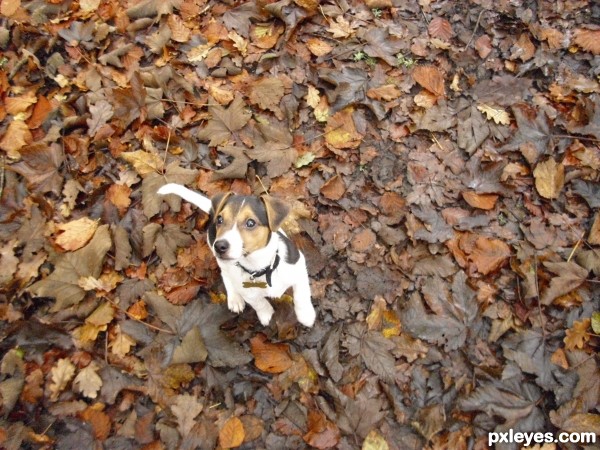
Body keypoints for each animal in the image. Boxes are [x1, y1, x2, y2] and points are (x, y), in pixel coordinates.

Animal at [157, 183, 316, 326]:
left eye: (251, 223)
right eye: (220, 220)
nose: (219, 246)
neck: (259, 267)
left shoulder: (299, 268)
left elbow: (302, 295)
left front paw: (306, 315)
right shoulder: (247, 291)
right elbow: (258, 302)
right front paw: (266, 314)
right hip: (221, 259)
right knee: (226, 275)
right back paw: (234, 298)